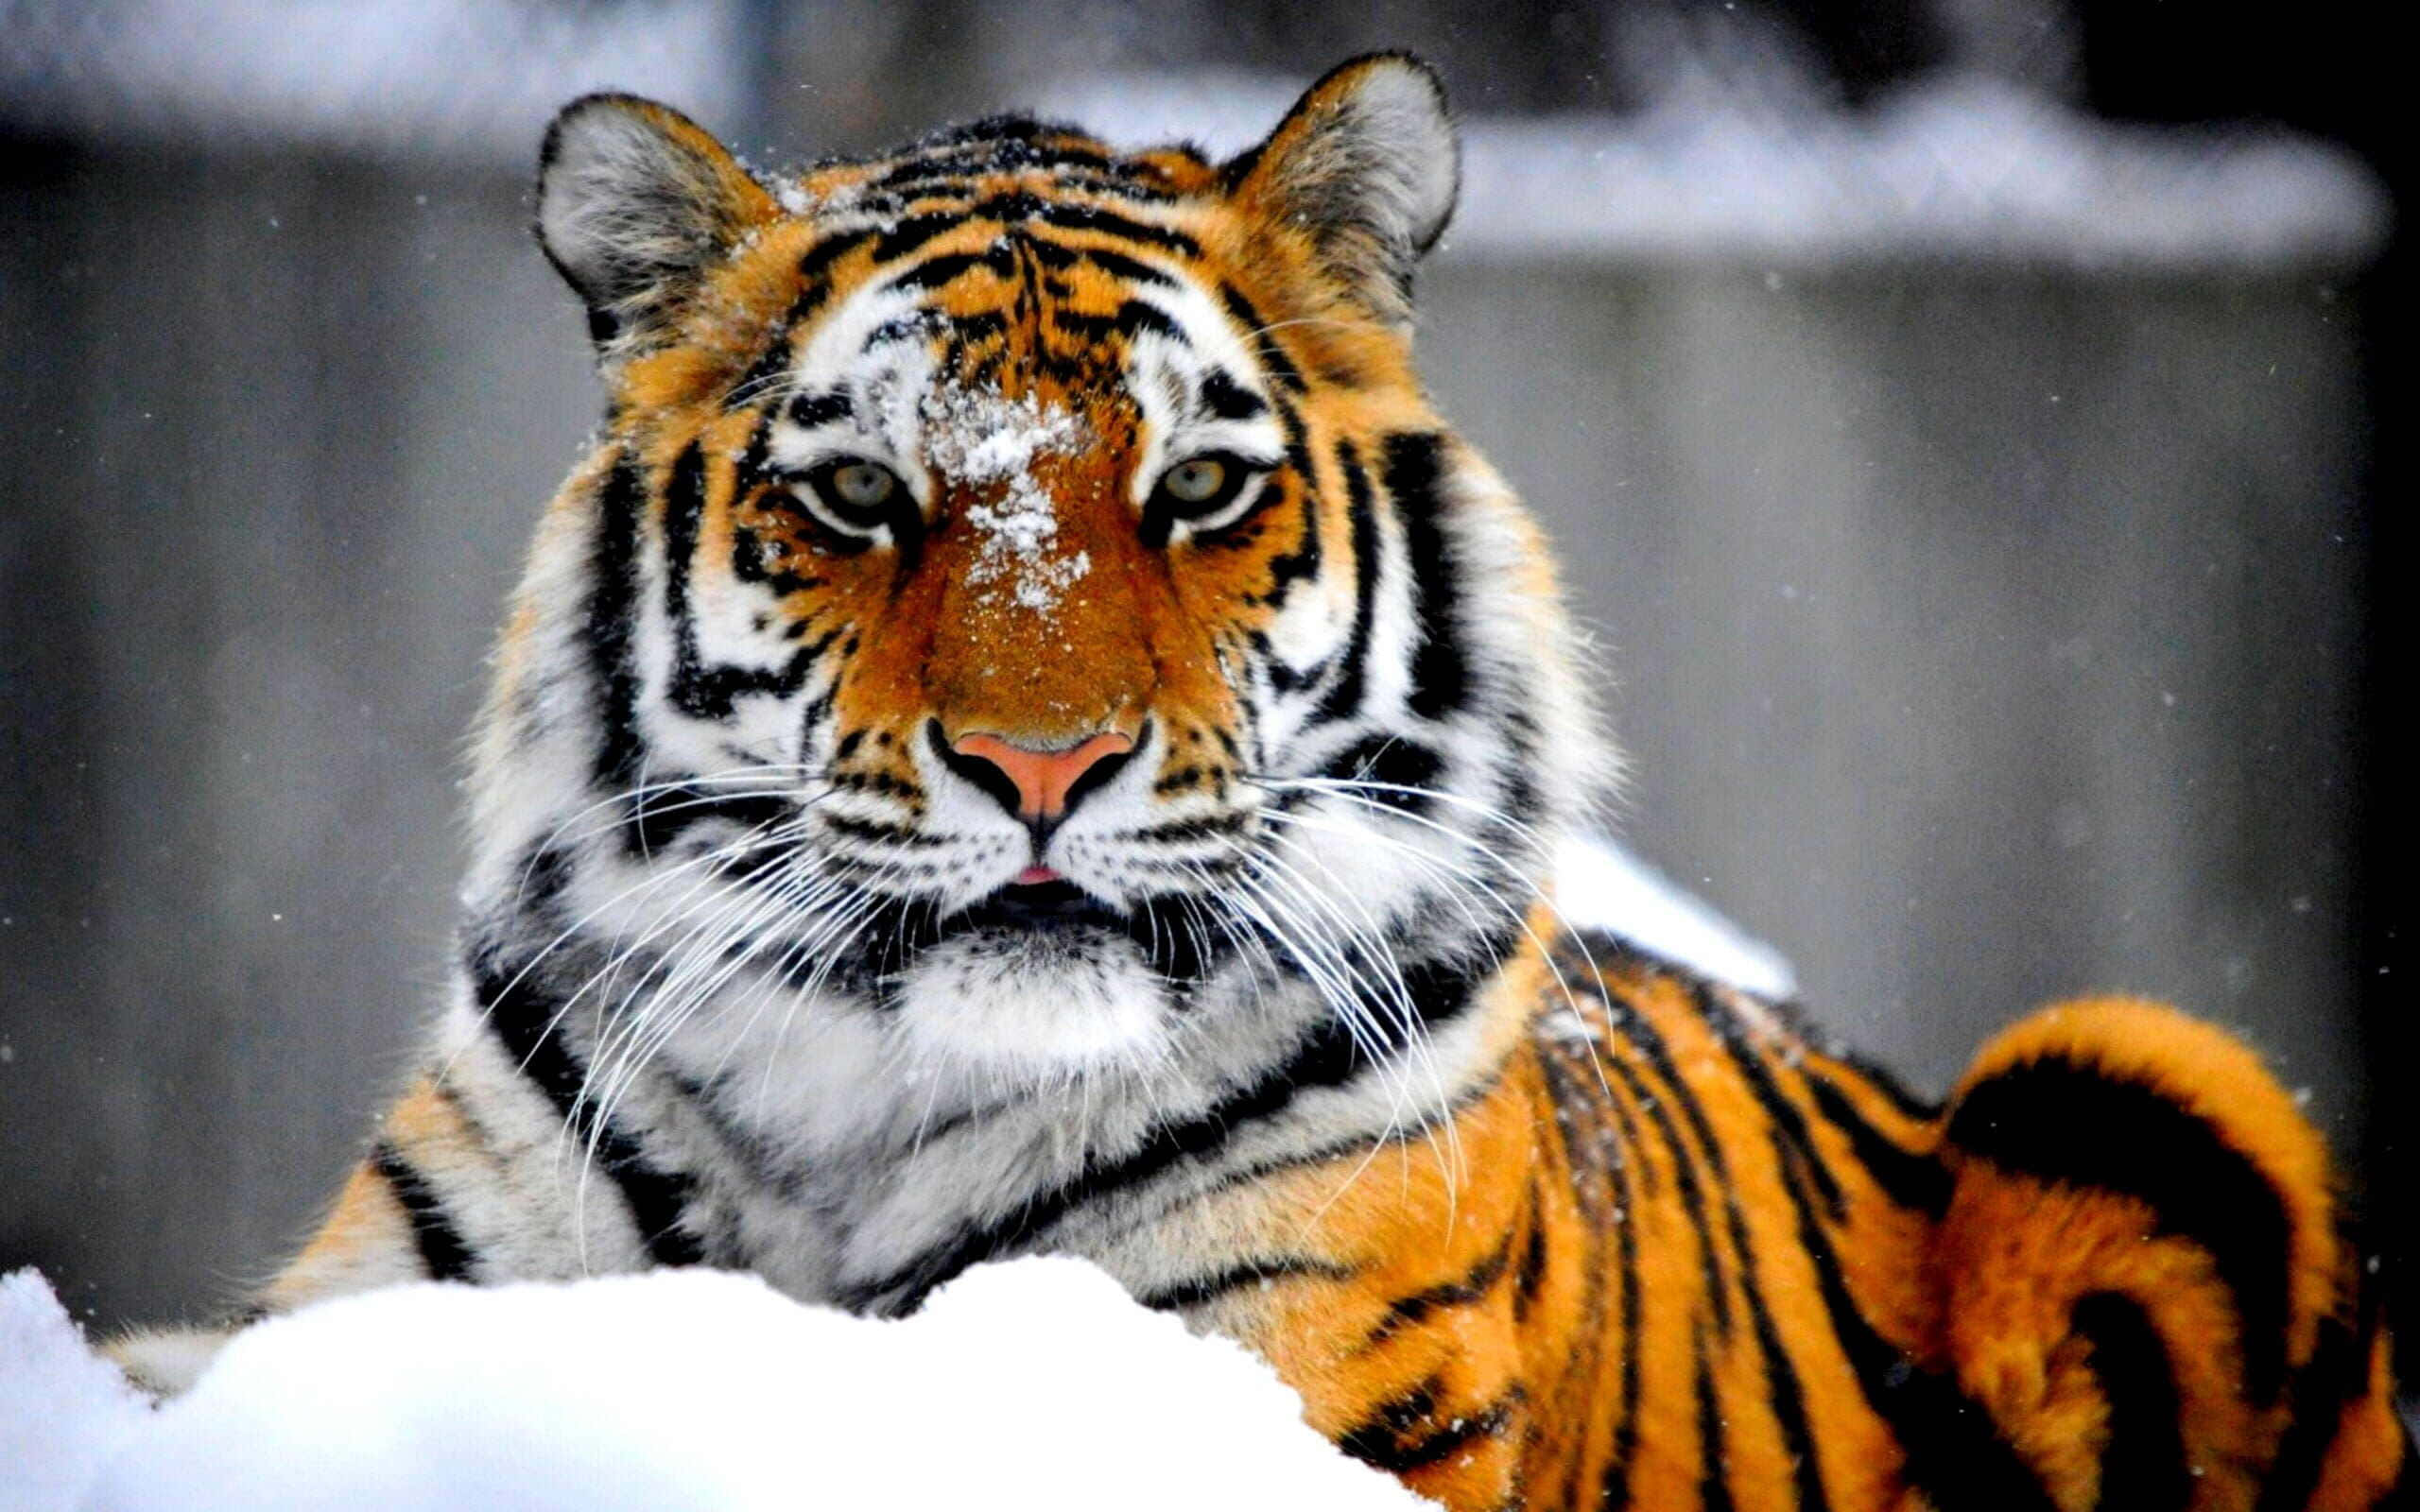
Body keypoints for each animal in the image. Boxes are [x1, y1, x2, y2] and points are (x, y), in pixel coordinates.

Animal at [104, 51, 2407, 1510]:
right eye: (857, 495)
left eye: (1197, 488)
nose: (1039, 763)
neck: (862, 1126)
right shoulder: (363, 1308)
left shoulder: (1289, 1386)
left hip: (2142, 1079)